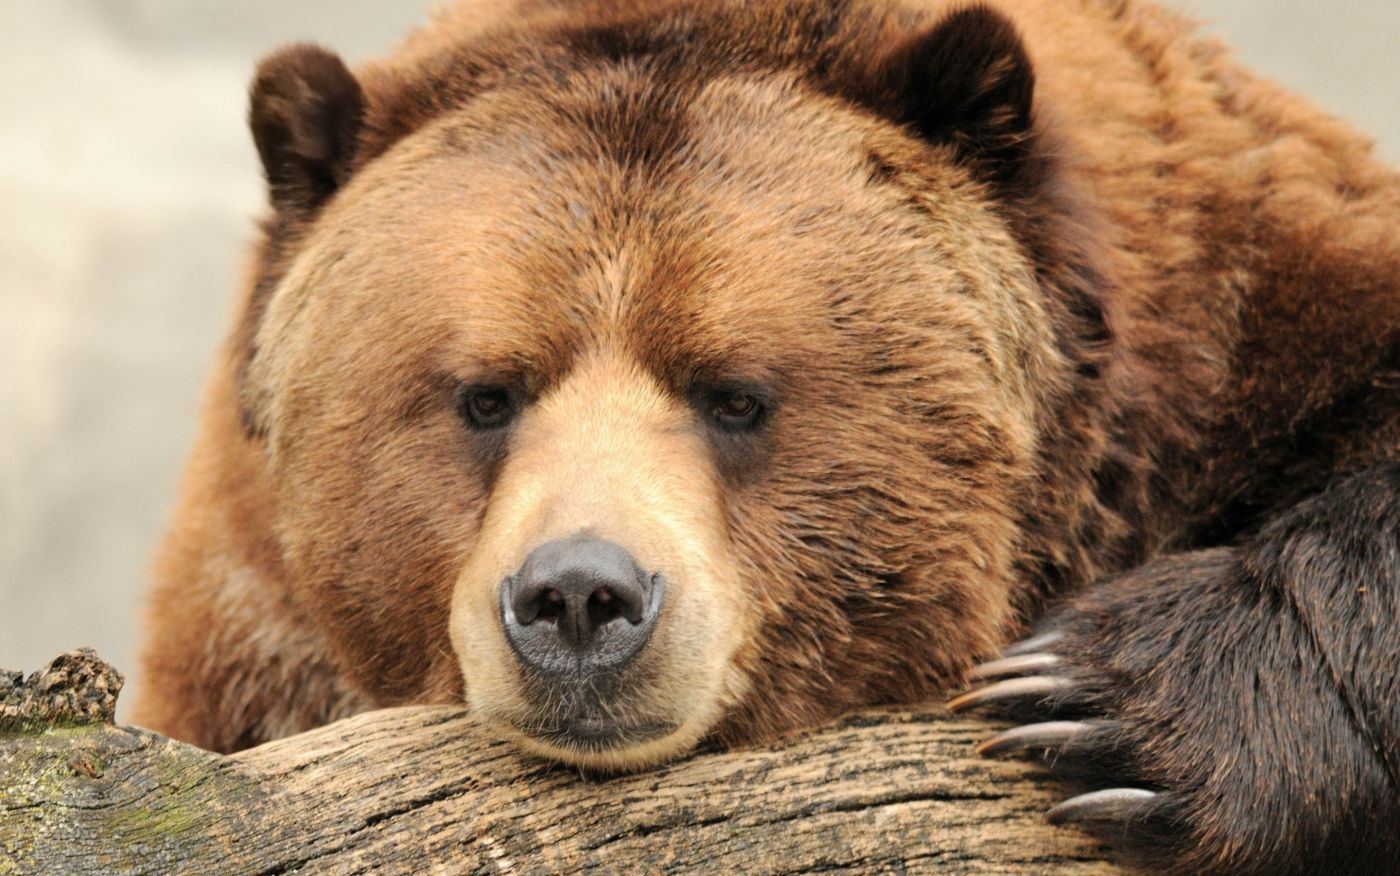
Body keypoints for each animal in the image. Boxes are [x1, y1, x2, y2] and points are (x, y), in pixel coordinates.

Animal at [134, 0, 1400, 872]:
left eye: (733, 394)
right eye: (486, 394)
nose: (578, 599)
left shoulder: (1241, 319)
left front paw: (1097, 710)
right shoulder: (242, 639)